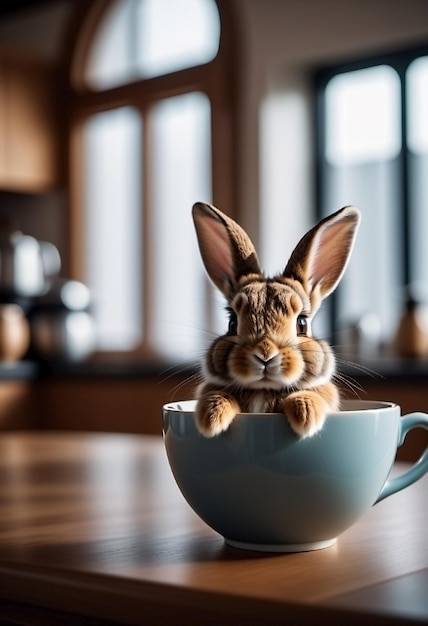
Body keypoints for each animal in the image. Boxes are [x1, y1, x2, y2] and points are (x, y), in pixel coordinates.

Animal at [192, 202, 360, 436]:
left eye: (302, 323)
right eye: (232, 322)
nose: (265, 355)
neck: (263, 390)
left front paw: (306, 414)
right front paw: (211, 418)